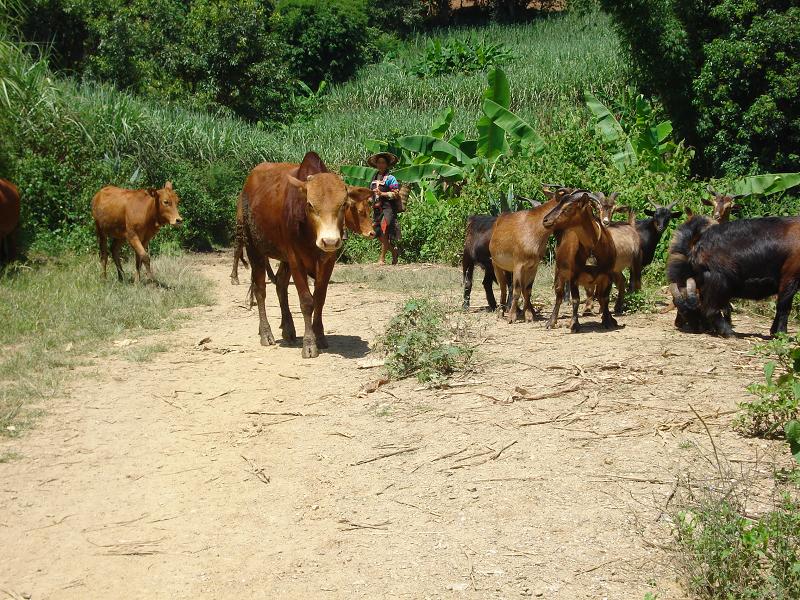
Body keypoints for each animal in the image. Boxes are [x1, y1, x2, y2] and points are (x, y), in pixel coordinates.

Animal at [239, 152, 368, 358]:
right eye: (310, 204)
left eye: (343, 204)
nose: (329, 241)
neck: (309, 229)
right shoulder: (295, 259)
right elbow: (307, 301)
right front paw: (309, 343)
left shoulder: (328, 260)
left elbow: (320, 298)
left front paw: (320, 336)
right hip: (254, 248)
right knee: (260, 290)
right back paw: (266, 333)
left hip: (282, 259)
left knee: (281, 285)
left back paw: (288, 329)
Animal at [544, 191, 620, 332]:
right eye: (559, 203)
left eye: (568, 208)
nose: (545, 220)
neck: (593, 247)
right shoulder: (573, 275)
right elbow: (575, 300)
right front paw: (574, 324)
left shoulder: (608, 275)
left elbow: (605, 298)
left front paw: (608, 320)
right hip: (559, 271)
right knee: (559, 295)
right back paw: (551, 322)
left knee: (599, 296)